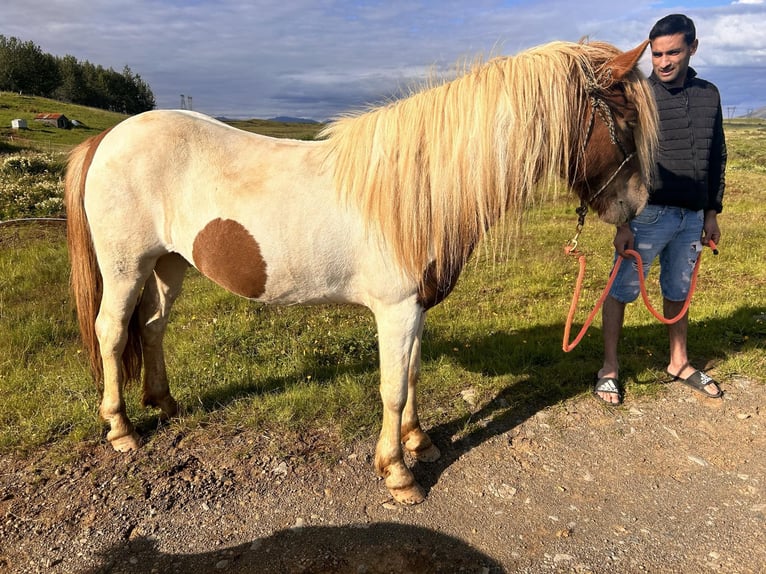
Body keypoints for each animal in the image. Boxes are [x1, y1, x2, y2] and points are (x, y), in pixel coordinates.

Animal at [65, 39, 658, 504]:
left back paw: (165, 404)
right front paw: (398, 474)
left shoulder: (416, 308)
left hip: (168, 265)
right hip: (126, 267)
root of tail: (107, 138)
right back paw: (121, 429)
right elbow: (391, 388)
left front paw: (420, 442)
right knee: (112, 333)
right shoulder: (395, 310)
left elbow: (412, 374)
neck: (421, 189)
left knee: (152, 328)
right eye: (627, 120)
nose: (635, 207)